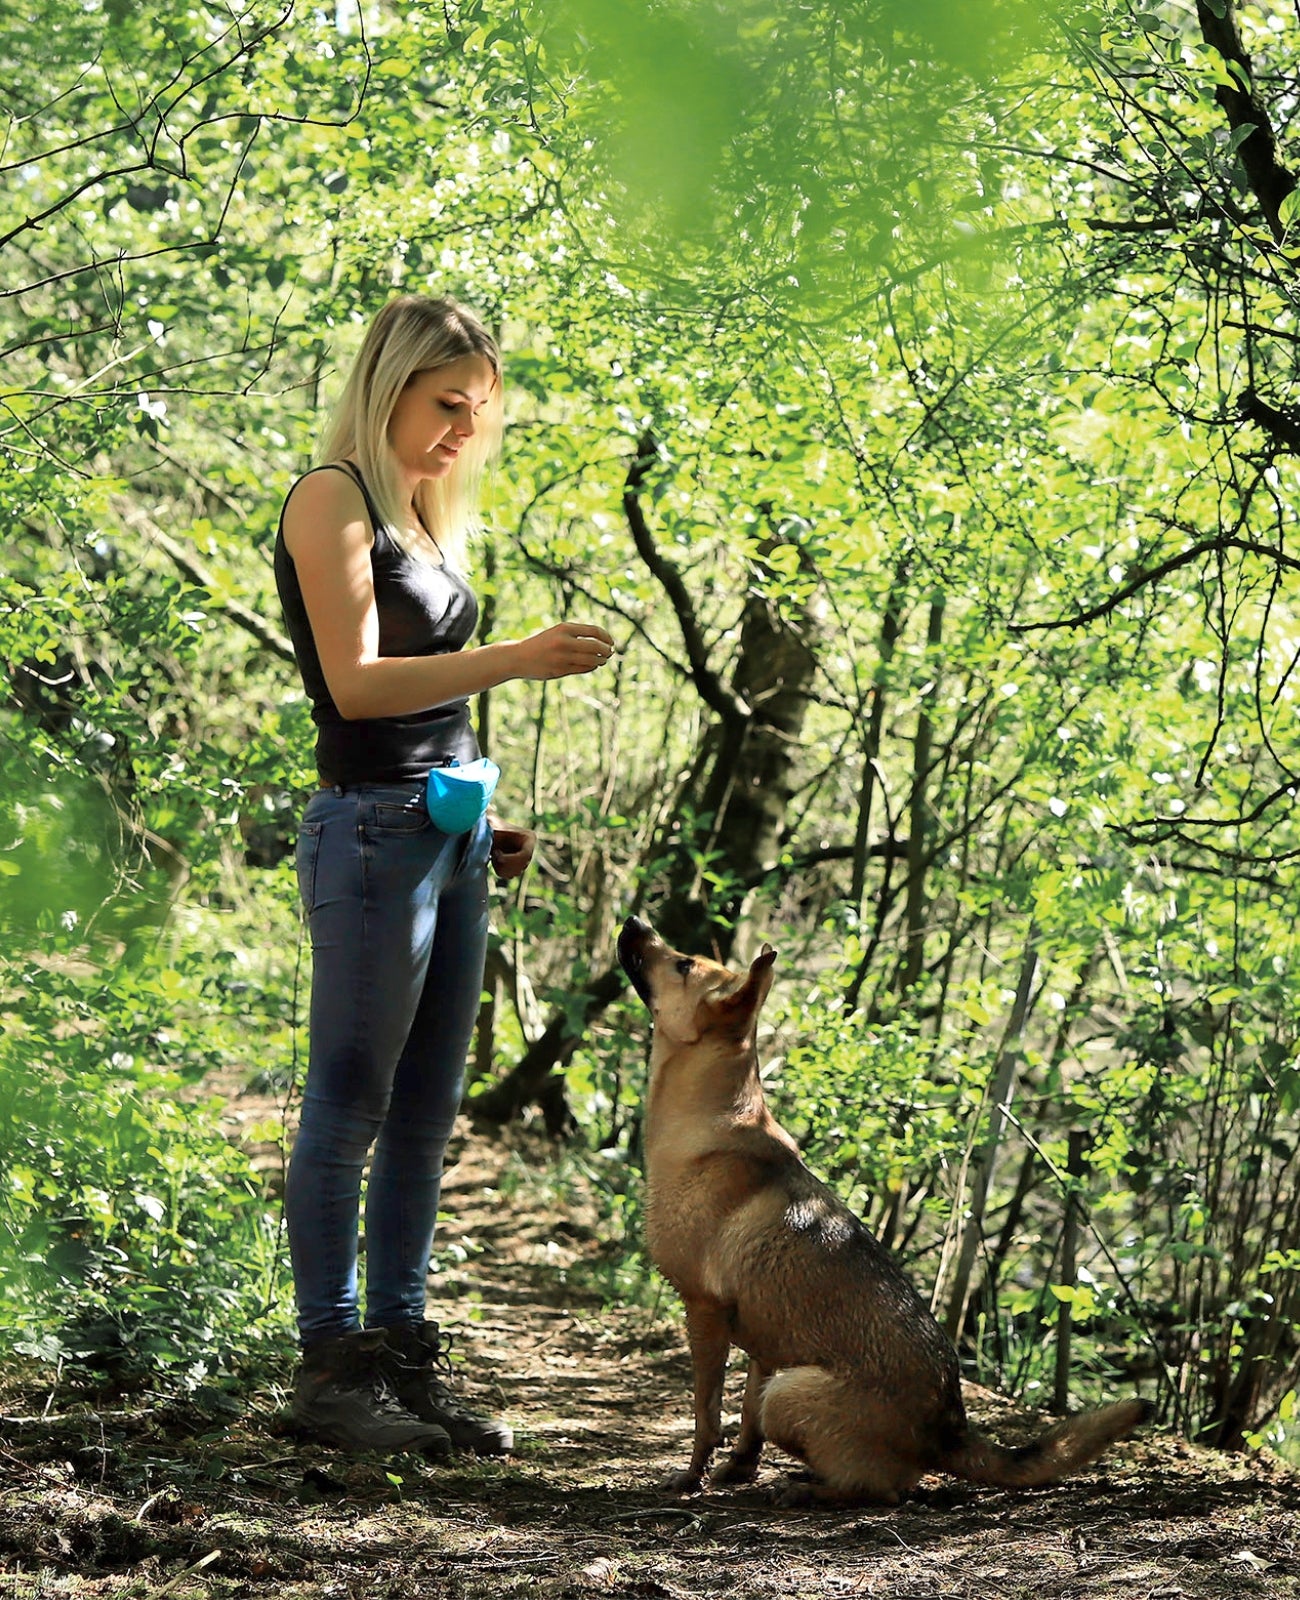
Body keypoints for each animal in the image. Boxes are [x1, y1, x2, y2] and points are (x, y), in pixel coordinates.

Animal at [614, 921, 1152, 1504]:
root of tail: (949, 1431)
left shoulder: (704, 1312)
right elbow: (745, 1422)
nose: (635, 922)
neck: (713, 1118)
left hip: (789, 1392)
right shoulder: (764, 1338)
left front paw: (692, 1476)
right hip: (786, 1379)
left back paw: (813, 1491)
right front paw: (737, 1469)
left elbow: (706, 1415)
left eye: (684, 964)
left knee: (882, 1489)